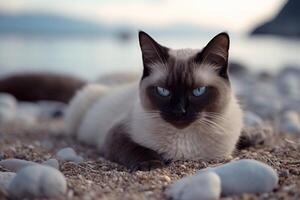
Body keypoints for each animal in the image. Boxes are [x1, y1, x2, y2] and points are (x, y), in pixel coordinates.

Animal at [65, 30, 244, 170]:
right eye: (163, 91)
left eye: (198, 91)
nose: (179, 111)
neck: (183, 141)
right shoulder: (116, 134)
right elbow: (137, 148)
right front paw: (152, 164)